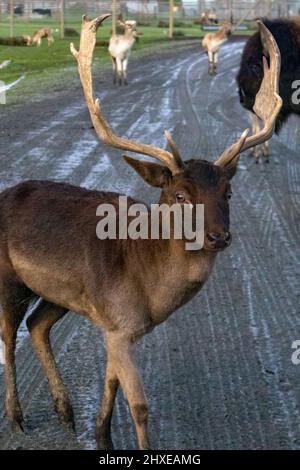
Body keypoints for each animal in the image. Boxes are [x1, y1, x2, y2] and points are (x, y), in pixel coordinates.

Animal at [0, 13, 282, 448]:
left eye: (229, 192)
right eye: (180, 195)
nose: (219, 236)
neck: (149, 289)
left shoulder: (115, 326)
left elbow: (111, 385)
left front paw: (101, 435)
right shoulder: (119, 325)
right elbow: (139, 405)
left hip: (59, 293)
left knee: (37, 325)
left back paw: (65, 413)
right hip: (8, 278)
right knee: (8, 338)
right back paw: (16, 418)